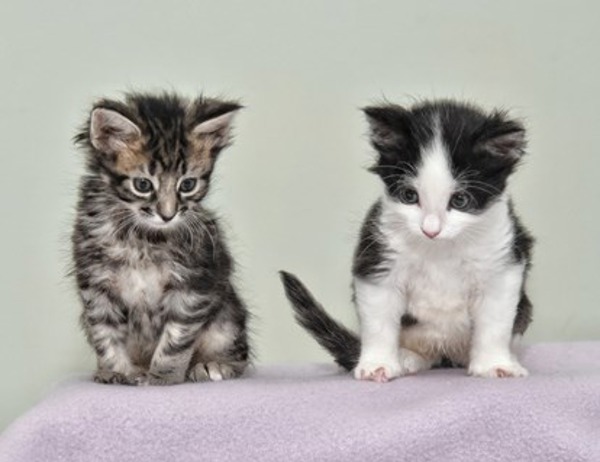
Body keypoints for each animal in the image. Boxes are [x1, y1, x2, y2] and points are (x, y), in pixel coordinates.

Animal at [73, 92, 251, 384]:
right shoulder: (96, 284)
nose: (168, 215)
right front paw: (115, 372)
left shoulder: (193, 284)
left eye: (187, 184)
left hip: (227, 316)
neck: (142, 236)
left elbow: (175, 340)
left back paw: (210, 365)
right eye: (143, 185)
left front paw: (162, 378)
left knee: (239, 353)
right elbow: (105, 334)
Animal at [282, 100, 536, 382]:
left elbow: (495, 321)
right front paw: (378, 364)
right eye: (409, 196)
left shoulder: (503, 262)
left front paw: (494, 364)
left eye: (460, 200)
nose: (430, 230)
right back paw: (407, 358)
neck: (439, 249)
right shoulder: (377, 255)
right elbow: (379, 320)